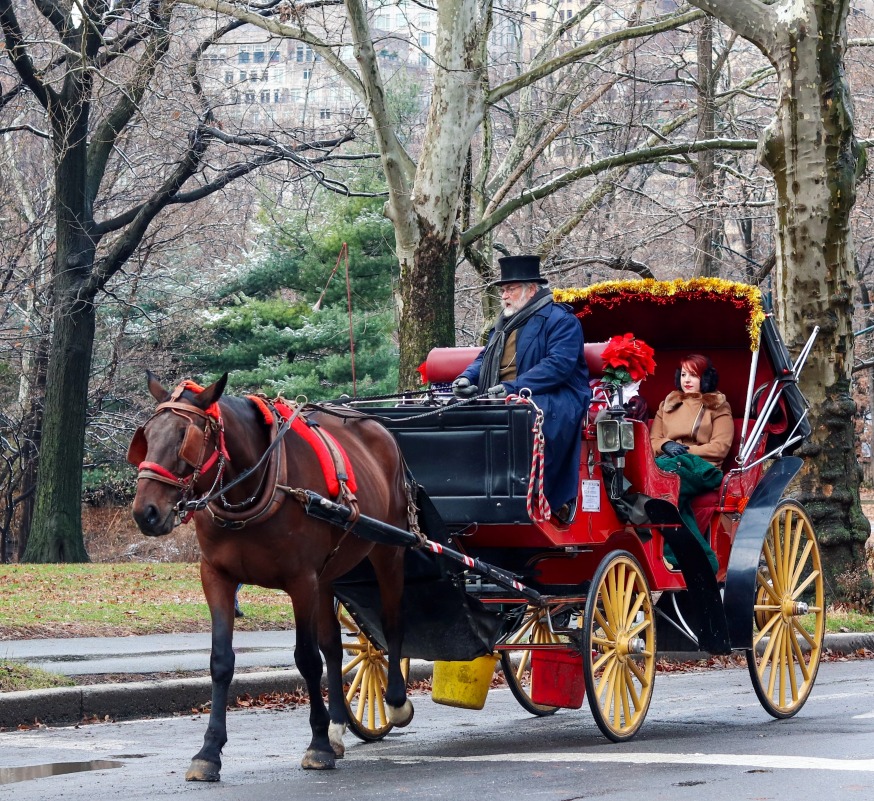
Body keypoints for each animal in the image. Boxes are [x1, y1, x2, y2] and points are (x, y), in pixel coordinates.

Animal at [129, 372, 416, 780]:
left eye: (186, 438)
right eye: (147, 436)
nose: (146, 512)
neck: (250, 491)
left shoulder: (301, 581)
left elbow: (307, 658)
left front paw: (317, 745)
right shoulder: (217, 577)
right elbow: (221, 661)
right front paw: (208, 751)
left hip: (388, 551)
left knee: (391, 625)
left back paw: (394, 701)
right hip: (327, 575)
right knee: (334, 645)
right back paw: (338, 726)